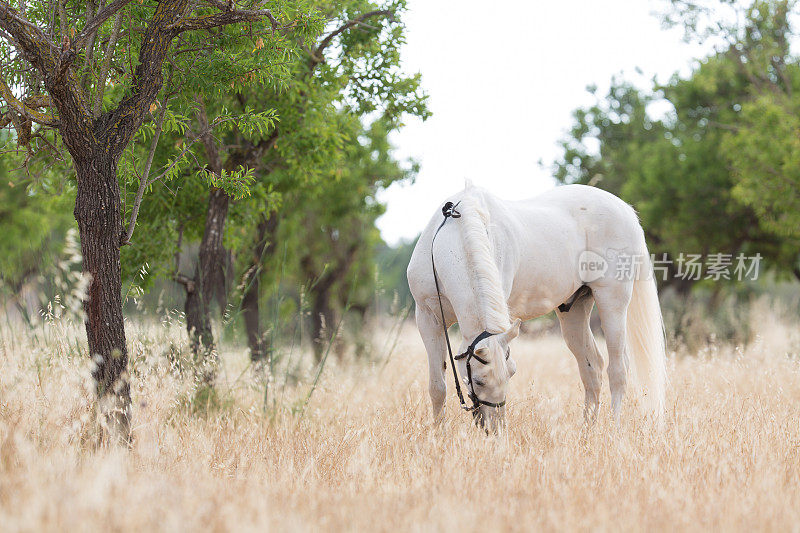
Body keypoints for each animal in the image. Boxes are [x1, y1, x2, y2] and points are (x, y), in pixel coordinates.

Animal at [410, 185, 664, 430]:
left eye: (511, 374)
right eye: (479, 380)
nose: (495, 429)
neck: (456, 234)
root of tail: (626, 210)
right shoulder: (428, 319)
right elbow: (437, 387)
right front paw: (439, 435)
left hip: (613, 302)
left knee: (618, 370)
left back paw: (615, 431)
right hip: (575, 311)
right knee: (592, 368)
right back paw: (587, 433)